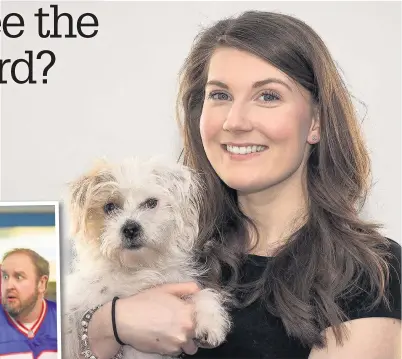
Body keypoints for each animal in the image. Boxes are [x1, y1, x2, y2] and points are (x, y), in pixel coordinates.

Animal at [63, 158, 232, 359]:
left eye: (151, 203)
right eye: (109, 207)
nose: (130, 229)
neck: (139, 267)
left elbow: (202, 293)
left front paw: (211, 320)